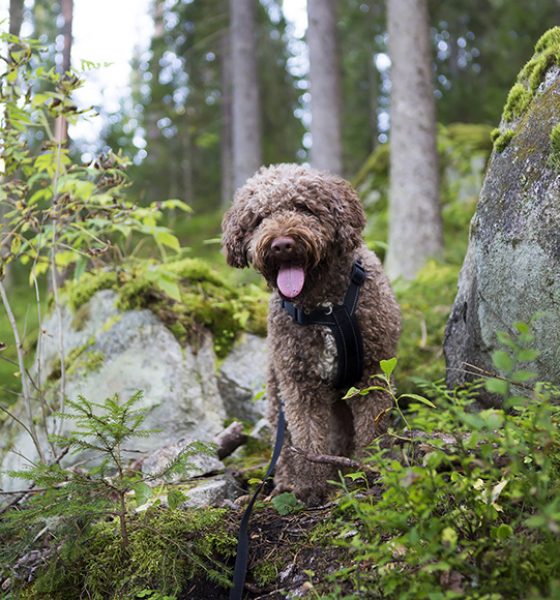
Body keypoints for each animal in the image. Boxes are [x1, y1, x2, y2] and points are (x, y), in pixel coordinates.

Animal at [221, 162, 400, 504]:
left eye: (303, 207)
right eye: (259, 219)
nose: (281, 244)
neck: (325, 308)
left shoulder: (373, 373)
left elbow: (373, 430)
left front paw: (372, 470)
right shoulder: (299, 385)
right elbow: (307, 437)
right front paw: (310, 487)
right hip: (276, 400)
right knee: (286, 451)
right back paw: (287, 484)